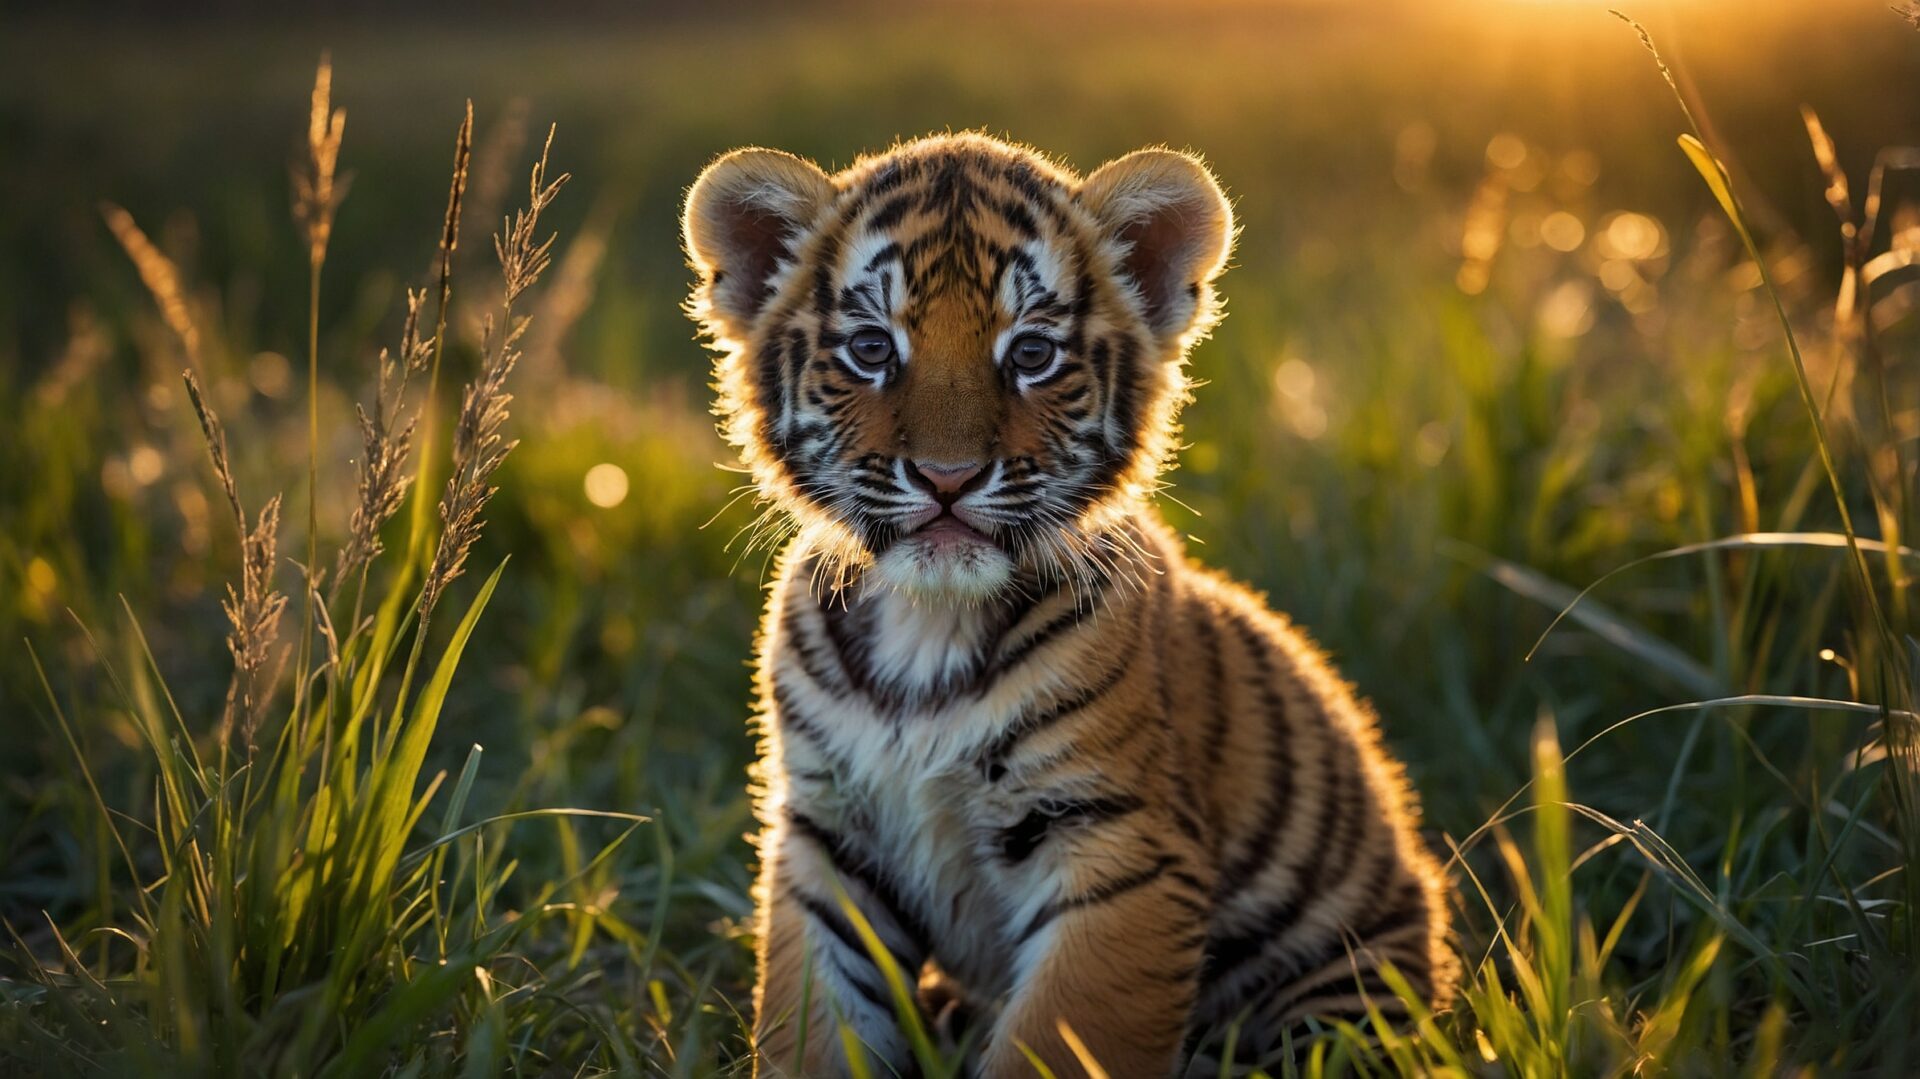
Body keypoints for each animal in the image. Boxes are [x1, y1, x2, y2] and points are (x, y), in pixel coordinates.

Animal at [680, 132, 1457, 1078]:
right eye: (871, 348)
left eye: (1031, 355)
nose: (947, 477)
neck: (928, 623)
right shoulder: (830, 837)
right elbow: (817, 1026)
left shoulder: (1119, 844)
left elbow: (1059, 1036)